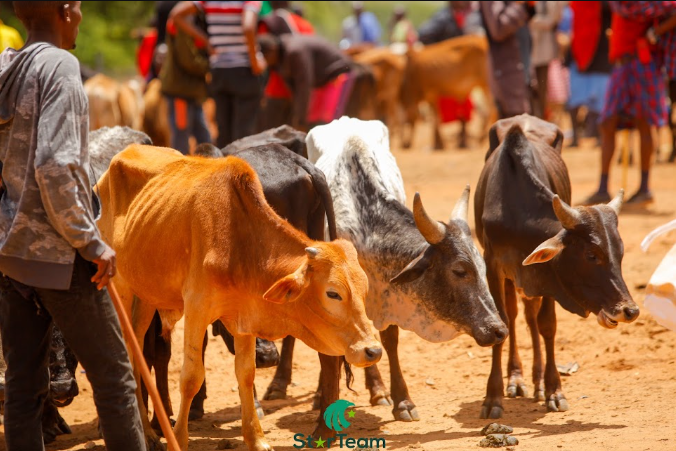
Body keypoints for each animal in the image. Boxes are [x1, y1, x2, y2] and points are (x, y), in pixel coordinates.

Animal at [96, 145, 382, 451]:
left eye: (364, 291)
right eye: (333, 293)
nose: (373, 350)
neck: (236, 241)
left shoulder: (245, 316)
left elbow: (246, 373)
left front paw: (256, 439)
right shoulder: (196, 309)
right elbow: (191, 377)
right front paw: (179, 439)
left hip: (147, 294)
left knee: (137, 348)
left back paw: (148, 433)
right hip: (121, 286)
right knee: (129, 351)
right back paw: (148, 434)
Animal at [300, 117, 507, 423]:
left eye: (482, 268)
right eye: (459, 270)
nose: (499, 330)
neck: (367, 229)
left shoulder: (389, 297)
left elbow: (389, 341)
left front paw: (401, 401)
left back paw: (377, 390)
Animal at [474, 114, 639, 419]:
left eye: (620, 253)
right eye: (591, 255)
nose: (630, 310)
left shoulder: (547, 278)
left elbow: (546, 326)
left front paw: (553, 390)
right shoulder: (493, 265)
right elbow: (501, 325)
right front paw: (493, 397)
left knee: (531, 318)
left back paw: (537, 381)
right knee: (514, 316)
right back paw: (516, 379)